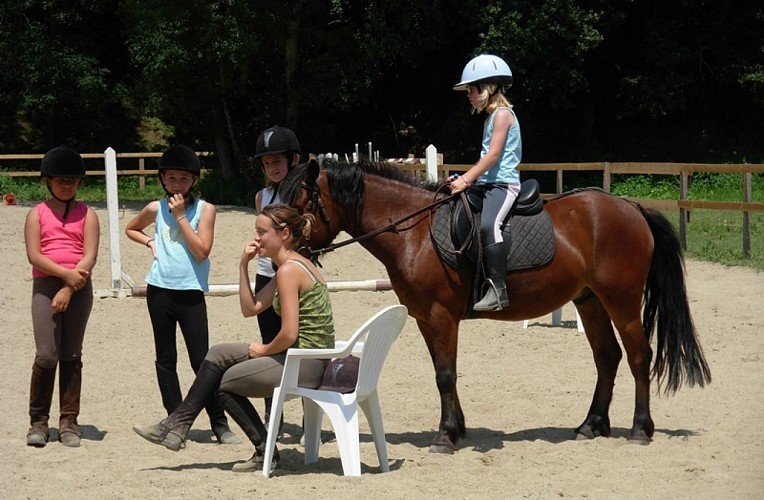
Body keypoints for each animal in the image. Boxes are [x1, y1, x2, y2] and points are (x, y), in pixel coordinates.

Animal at [280, 157, 712, 454]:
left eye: (299, 204)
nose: (286, 253)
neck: (412, 232)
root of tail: (630, 207)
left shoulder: (441, 316)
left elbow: (445, 376)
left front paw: (445, 437)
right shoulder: (425, 319)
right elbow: (444, 372)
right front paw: (457, 428)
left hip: (620, 300)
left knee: (639, 355)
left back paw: (640, 429)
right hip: (590, 302)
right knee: (607, 357)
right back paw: (591, 425)